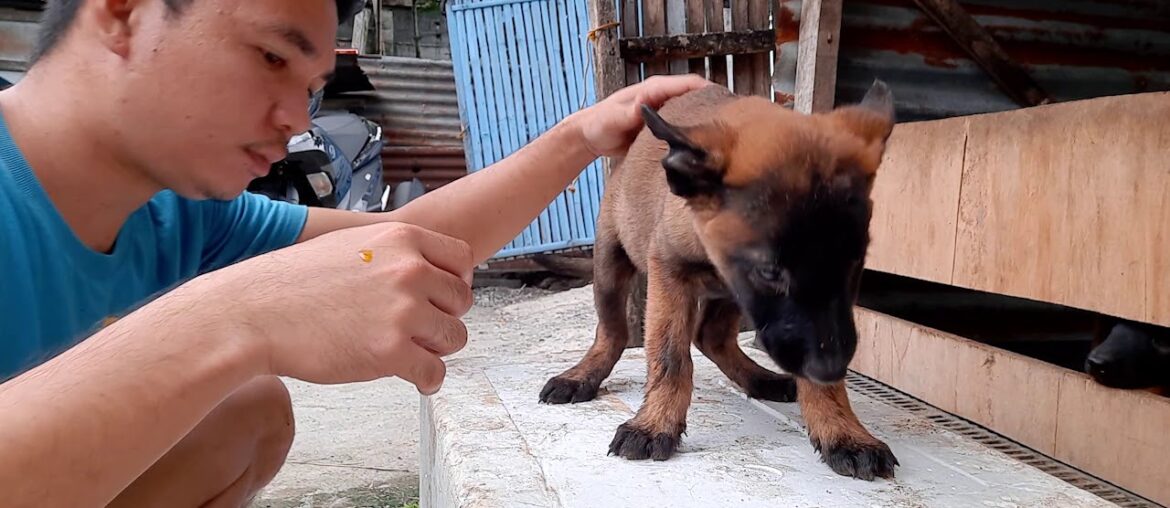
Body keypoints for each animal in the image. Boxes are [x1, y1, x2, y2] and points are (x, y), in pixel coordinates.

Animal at [542, 79, 898, 479]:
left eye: (855, 264)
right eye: (770, 272)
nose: (832, 368)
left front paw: (842, 429)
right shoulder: (669, 270)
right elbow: (669, 356)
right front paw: (654, 423)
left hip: (730, 296)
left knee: (710, 336)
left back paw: (760, 378)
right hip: (609, 263)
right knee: (613, 331)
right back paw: (582, 375)